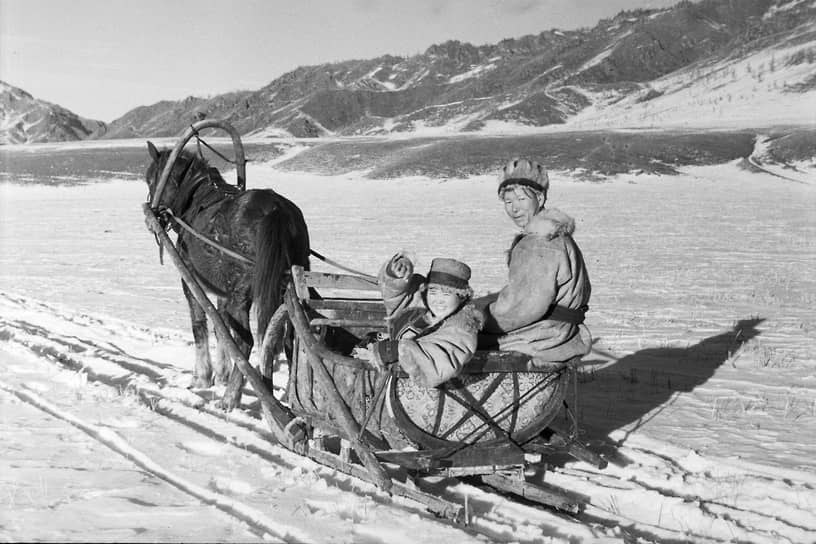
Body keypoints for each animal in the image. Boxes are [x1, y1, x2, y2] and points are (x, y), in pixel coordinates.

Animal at [143, 142, 310, 410]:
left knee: (247, 341)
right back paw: (289, 398)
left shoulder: (190, 282)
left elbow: (199, 327)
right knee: (292, 338)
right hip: (289, 285)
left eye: (150, 179)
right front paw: (221, 373)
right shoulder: (222, 292)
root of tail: (277, 209)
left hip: (240, 296)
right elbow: (220, 329)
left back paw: (231, 397)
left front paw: (202, 378)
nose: (152, 218)